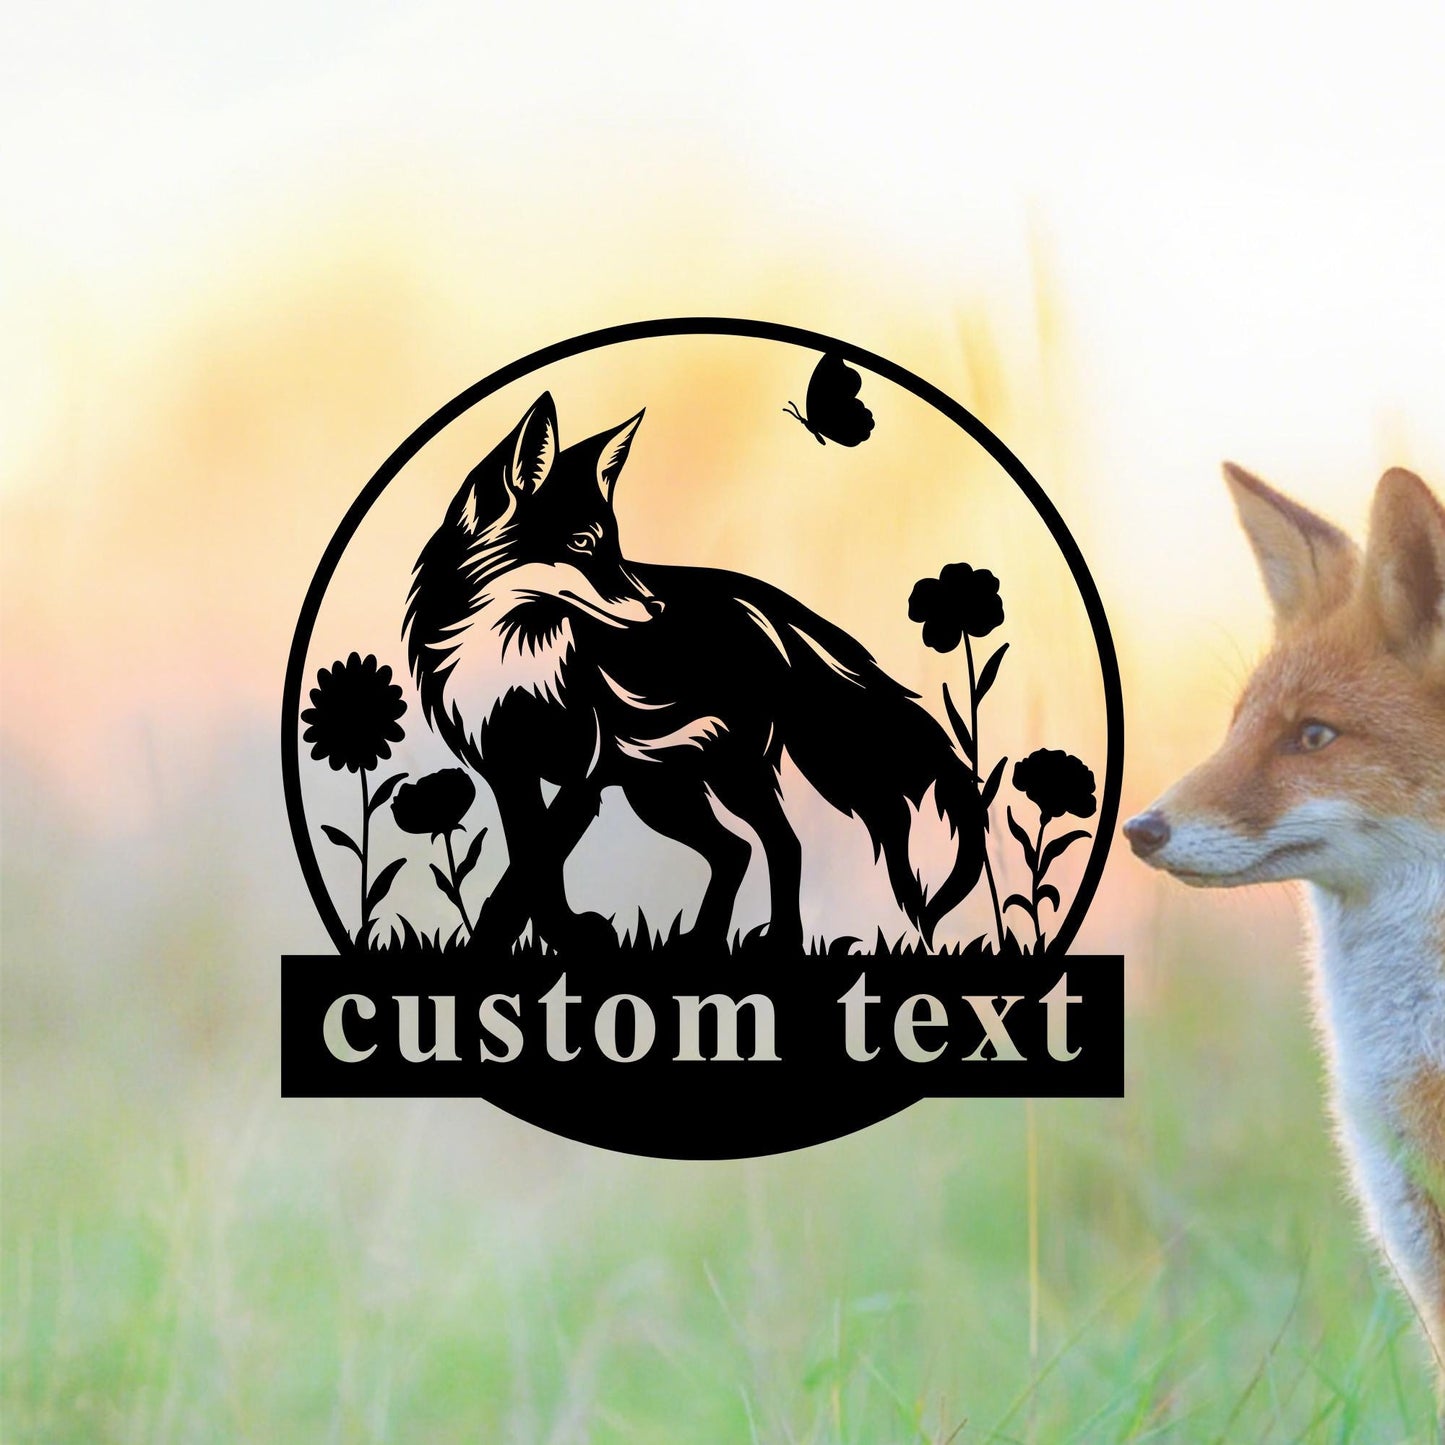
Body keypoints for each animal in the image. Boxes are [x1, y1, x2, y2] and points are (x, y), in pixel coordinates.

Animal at [404, 392, 985, 954]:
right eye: (581, 543)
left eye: (614, 544)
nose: (656, 605)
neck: (512, 660)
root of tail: (765, 603)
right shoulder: (509, 772)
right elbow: (531, 867)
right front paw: (543, 939)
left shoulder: (583, 776)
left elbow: (533, 867)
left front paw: (534, 940)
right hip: (662, 790)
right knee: (736, 850)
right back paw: (703, 942)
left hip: (719, 778)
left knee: (780, 843)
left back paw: (779, 943)